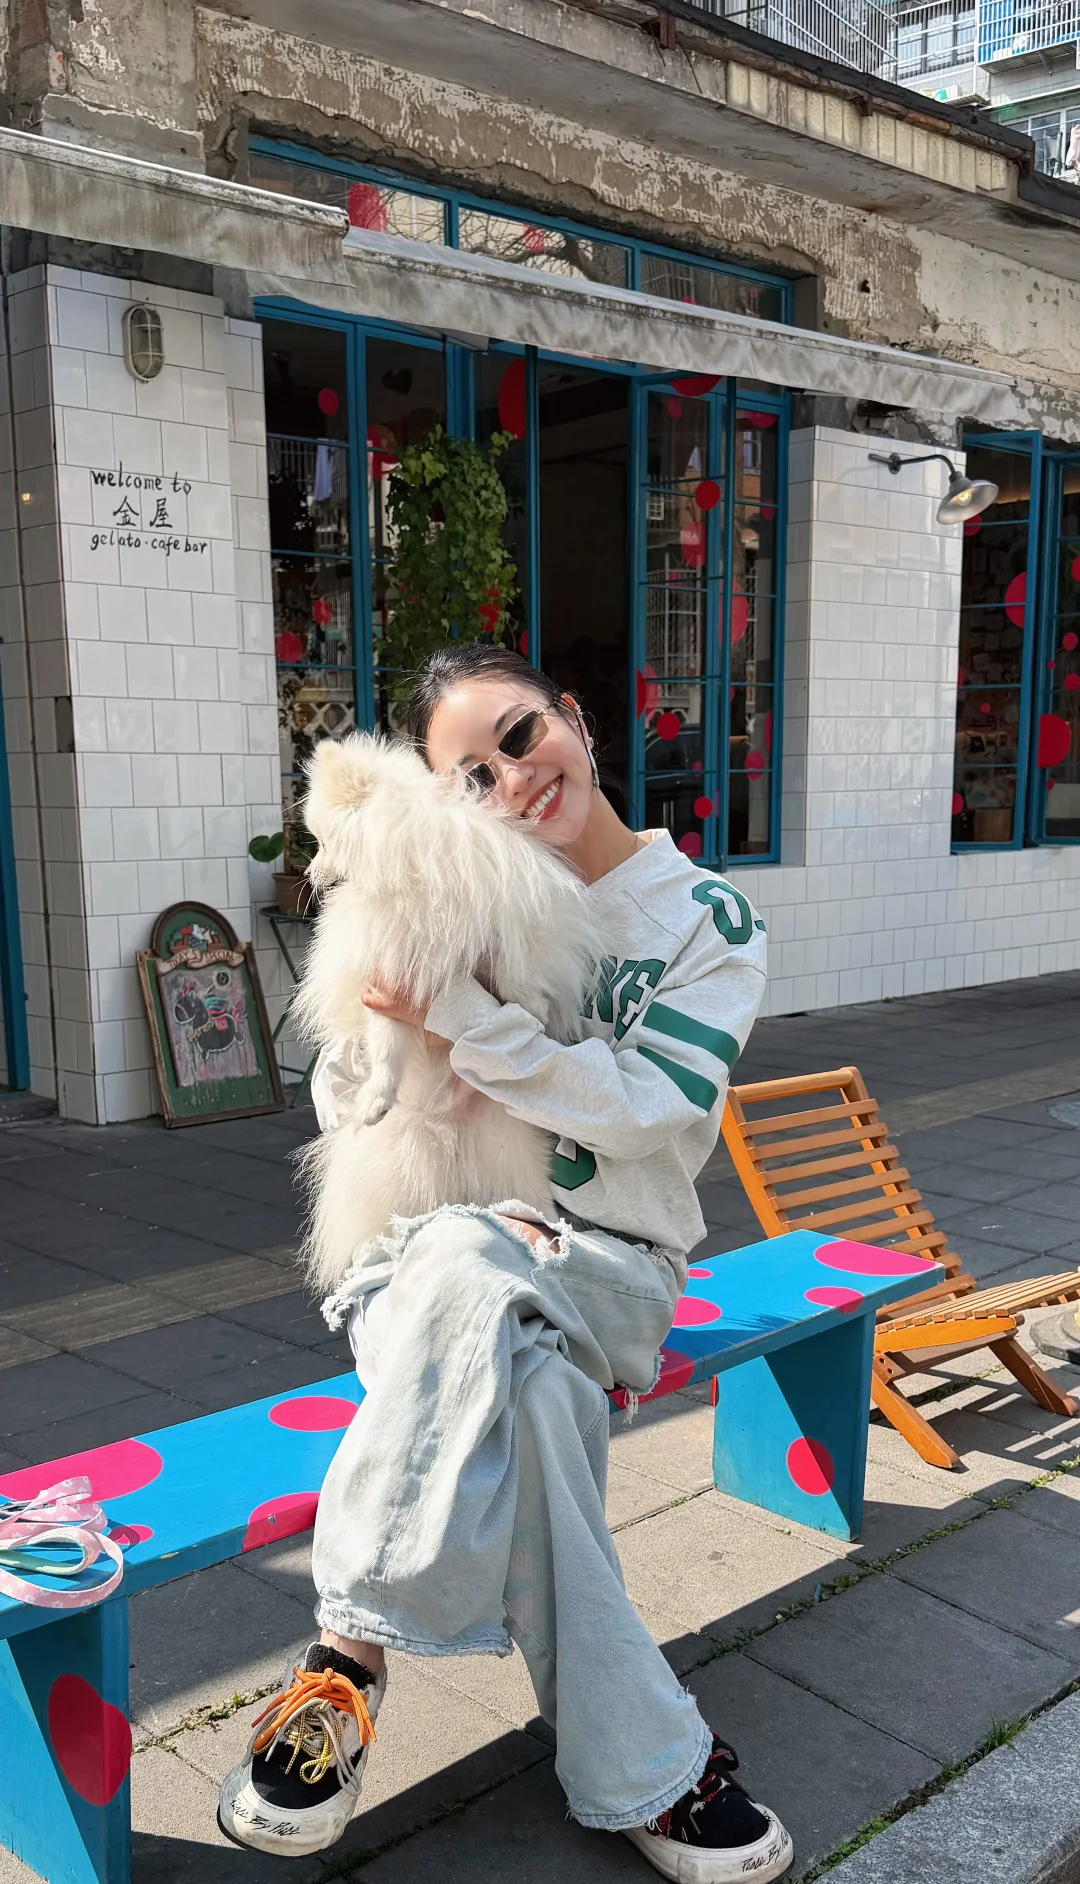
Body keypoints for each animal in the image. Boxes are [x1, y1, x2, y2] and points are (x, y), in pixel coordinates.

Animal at [294, 733, 606, 1292]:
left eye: (322, 841)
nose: (309, 873)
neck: (410, 869)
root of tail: (442, 1131)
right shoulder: (388, 973)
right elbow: (386, 1046)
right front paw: (375, 1098)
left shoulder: (511, 937)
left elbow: (521, 983)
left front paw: (527, 1021)